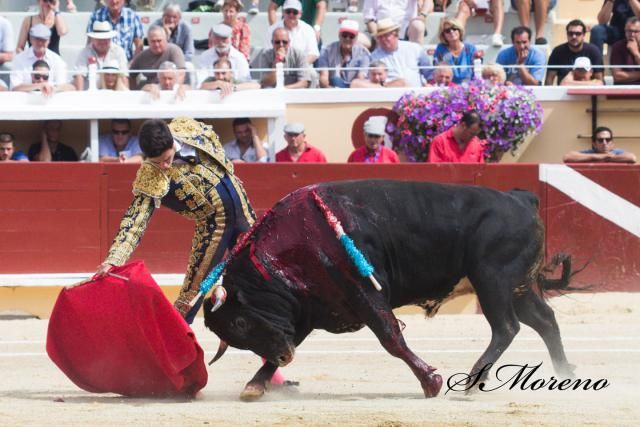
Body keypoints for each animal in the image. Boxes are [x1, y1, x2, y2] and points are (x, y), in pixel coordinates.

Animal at [205, 181, 576, 402]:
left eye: (240, 322)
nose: (285, 358)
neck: (293, 247)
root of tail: (520, 198)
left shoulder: (362, 291)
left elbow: (391, 337)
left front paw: (431, 382)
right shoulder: (311, 307)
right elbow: (290, 338)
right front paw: (255, 384)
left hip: (492, 281)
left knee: (507, 327)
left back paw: (472, 380)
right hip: (517, 287)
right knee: (545, 320)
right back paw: (565, 372)